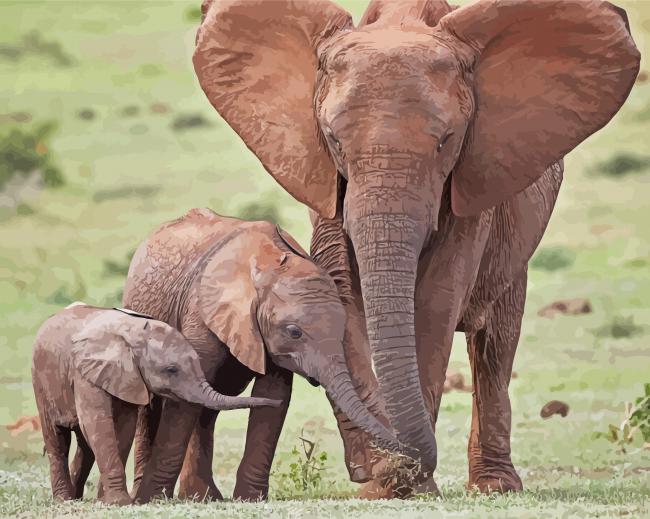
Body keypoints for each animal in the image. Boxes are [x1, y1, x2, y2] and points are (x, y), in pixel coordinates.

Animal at [31, 303, 278, 506]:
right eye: (171, 370)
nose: (274, 402)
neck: (133, 333)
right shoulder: (85, 372)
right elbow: (97, 424)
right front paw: (119, 503)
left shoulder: (127, 378)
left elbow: (123, 427)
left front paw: (108, 501)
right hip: (40, 382)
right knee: (57, 440)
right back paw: (64, 500)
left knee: (84, 445)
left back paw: (76, 497)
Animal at [122, 208, 404, 502]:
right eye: (294, 332)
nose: (401, 454)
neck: (268, 265)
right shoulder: (203, 312)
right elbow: (183, 400)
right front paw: (152, 499)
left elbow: (274, 394)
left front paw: (249, 498)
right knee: (154, 406)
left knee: (209, 407)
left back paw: (204, 496)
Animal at [192, 0, 640, 496]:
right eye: (333, 139)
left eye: (445, 141)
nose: (365, 468)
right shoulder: (324, 181)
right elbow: (341, 290)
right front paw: (380, 480)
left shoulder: (470, 184)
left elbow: (435, 300)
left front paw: (403, 484)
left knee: (495, 345)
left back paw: (495, 486)